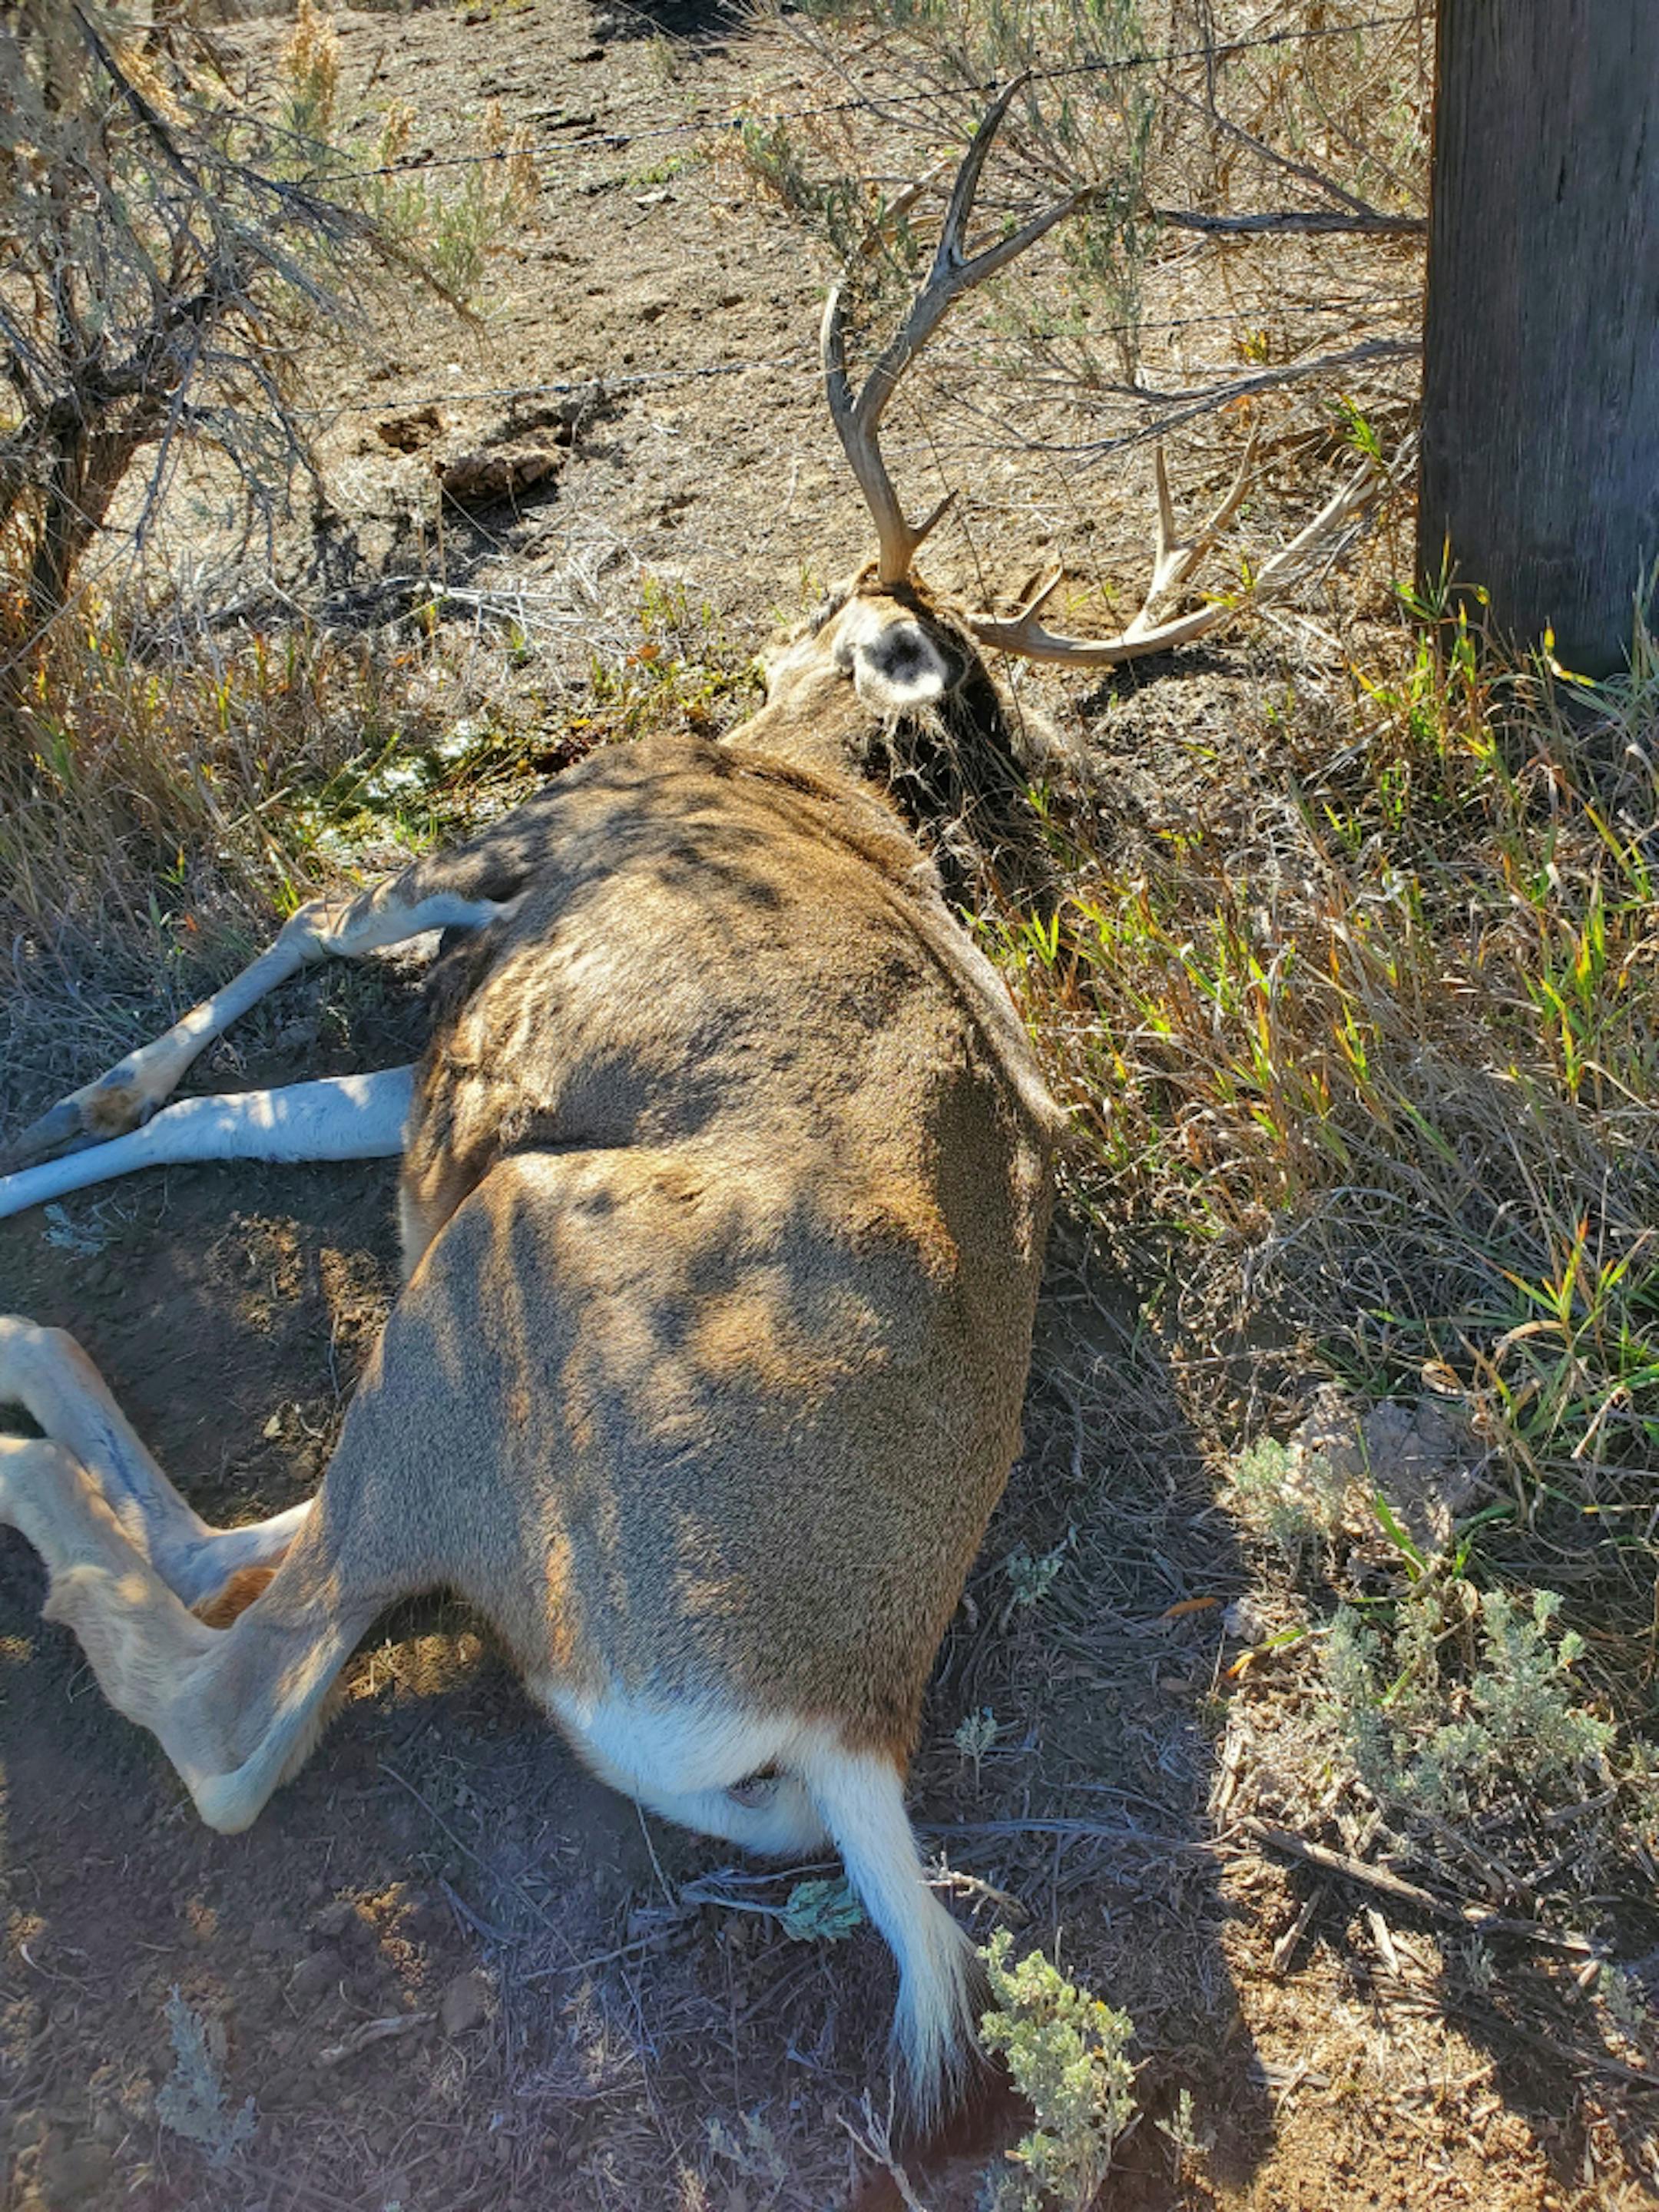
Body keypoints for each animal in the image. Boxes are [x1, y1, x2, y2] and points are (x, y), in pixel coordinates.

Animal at [0, 83, 1372, 2121]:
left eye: (826, 600)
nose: (779, 640)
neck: (804, 786)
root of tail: (844, 1714)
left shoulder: (521, 864)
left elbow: (297, 947)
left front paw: (48, 1123)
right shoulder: (462, 1059)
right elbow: (255, 1104)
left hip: (501, 1247)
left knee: (247, 1693)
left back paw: (26, 1446)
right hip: (477, 1331)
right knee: (272, 1555)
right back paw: (44, 1387)